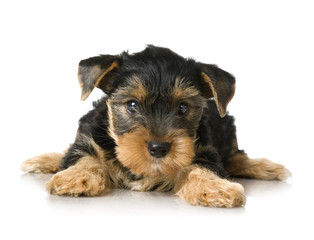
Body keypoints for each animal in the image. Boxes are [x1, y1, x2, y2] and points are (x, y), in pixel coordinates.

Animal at [22, 46, 292, 207]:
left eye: (182, 108)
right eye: (132, 105)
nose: (158, 148)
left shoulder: (202, 148)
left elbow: (203, 166)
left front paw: (216, 188)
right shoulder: (90, 134)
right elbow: (82, 154)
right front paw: (75, 177)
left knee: (236, 156)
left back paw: (267, 167)